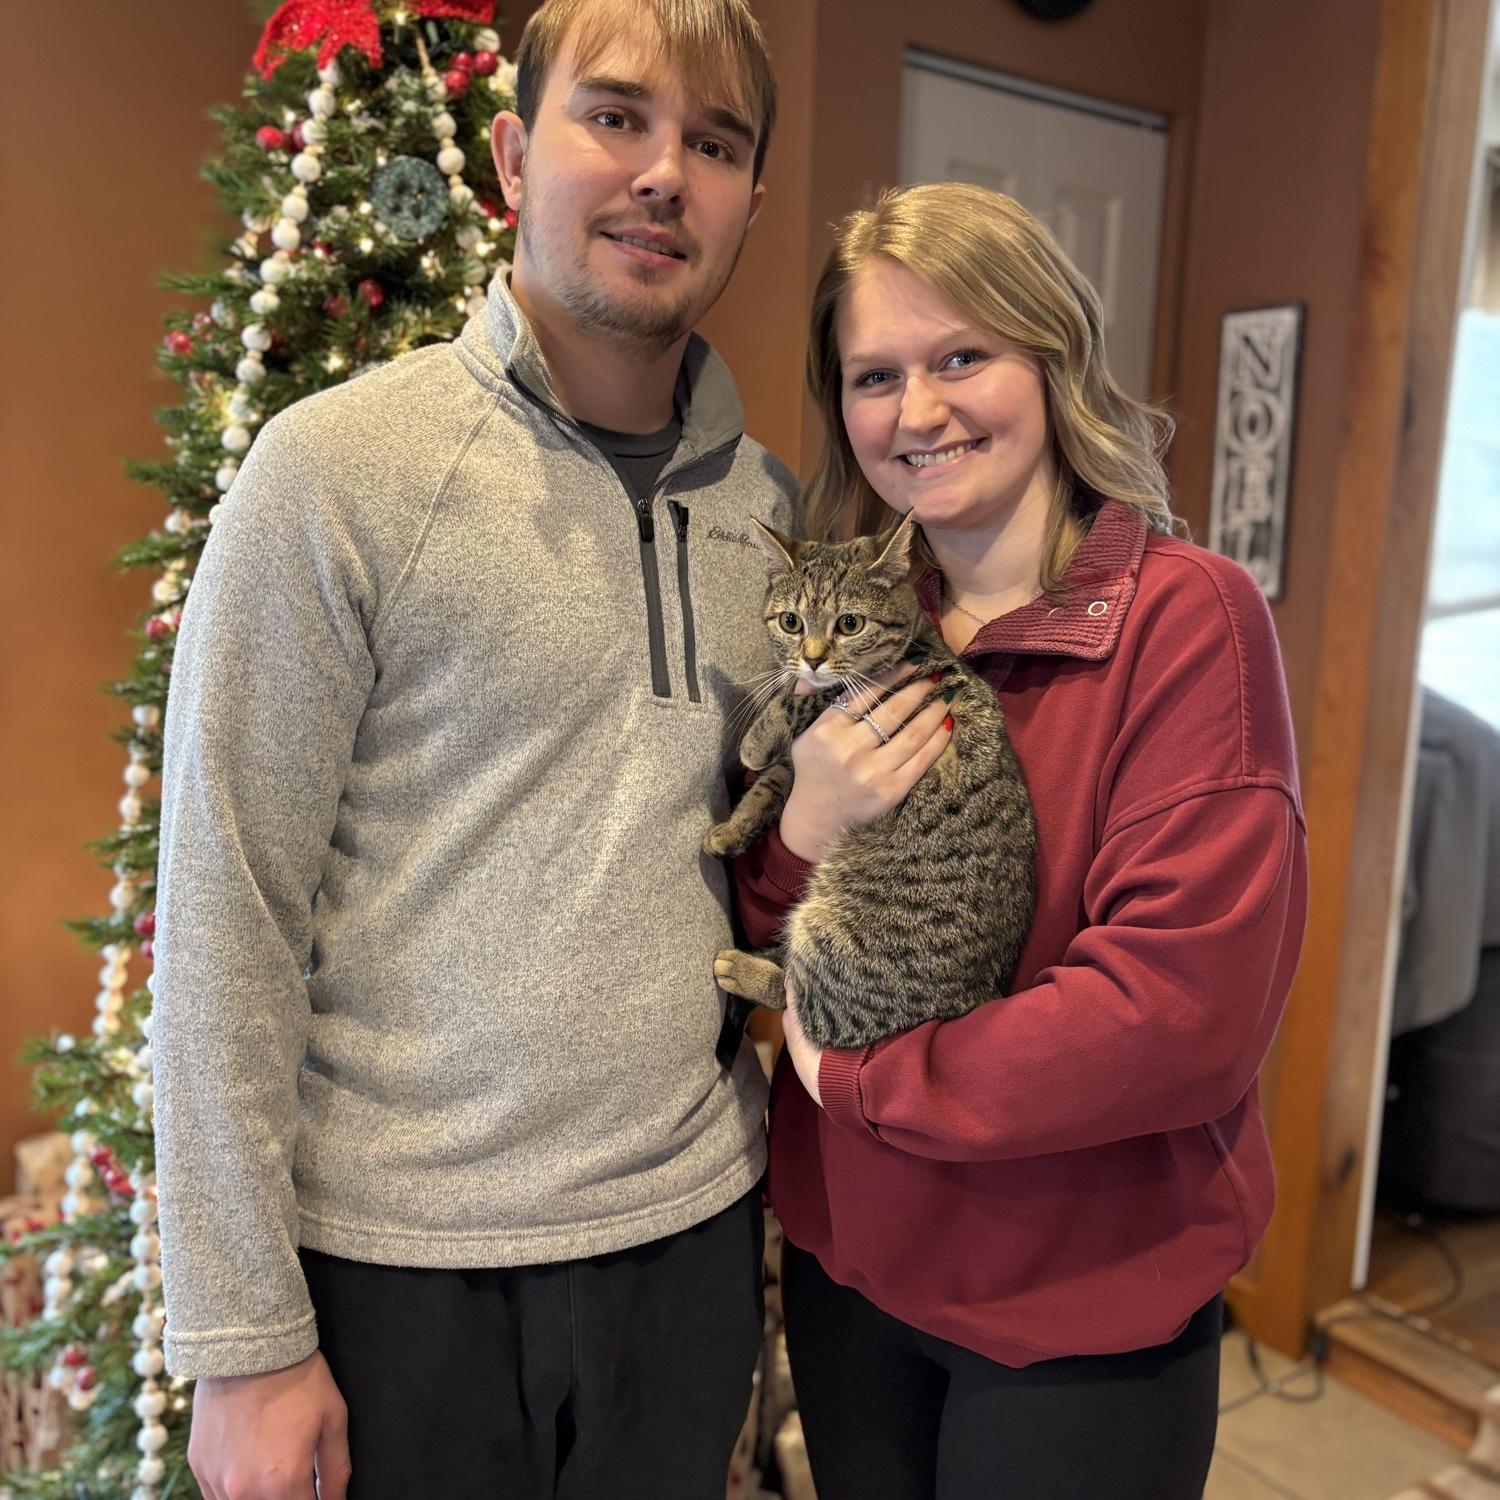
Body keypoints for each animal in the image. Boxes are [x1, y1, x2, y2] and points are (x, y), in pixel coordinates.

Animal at [704, 514, 1037, 1052]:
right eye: (791, 621)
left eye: (850, 624)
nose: (813, 658)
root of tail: (976, 996)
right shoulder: (796, 766)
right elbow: (770, 785)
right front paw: (730, 830)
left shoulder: (891, 695)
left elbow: (802, 699)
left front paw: (757, 735)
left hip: (835, 934)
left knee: (803, 1001)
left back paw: (740, 968)